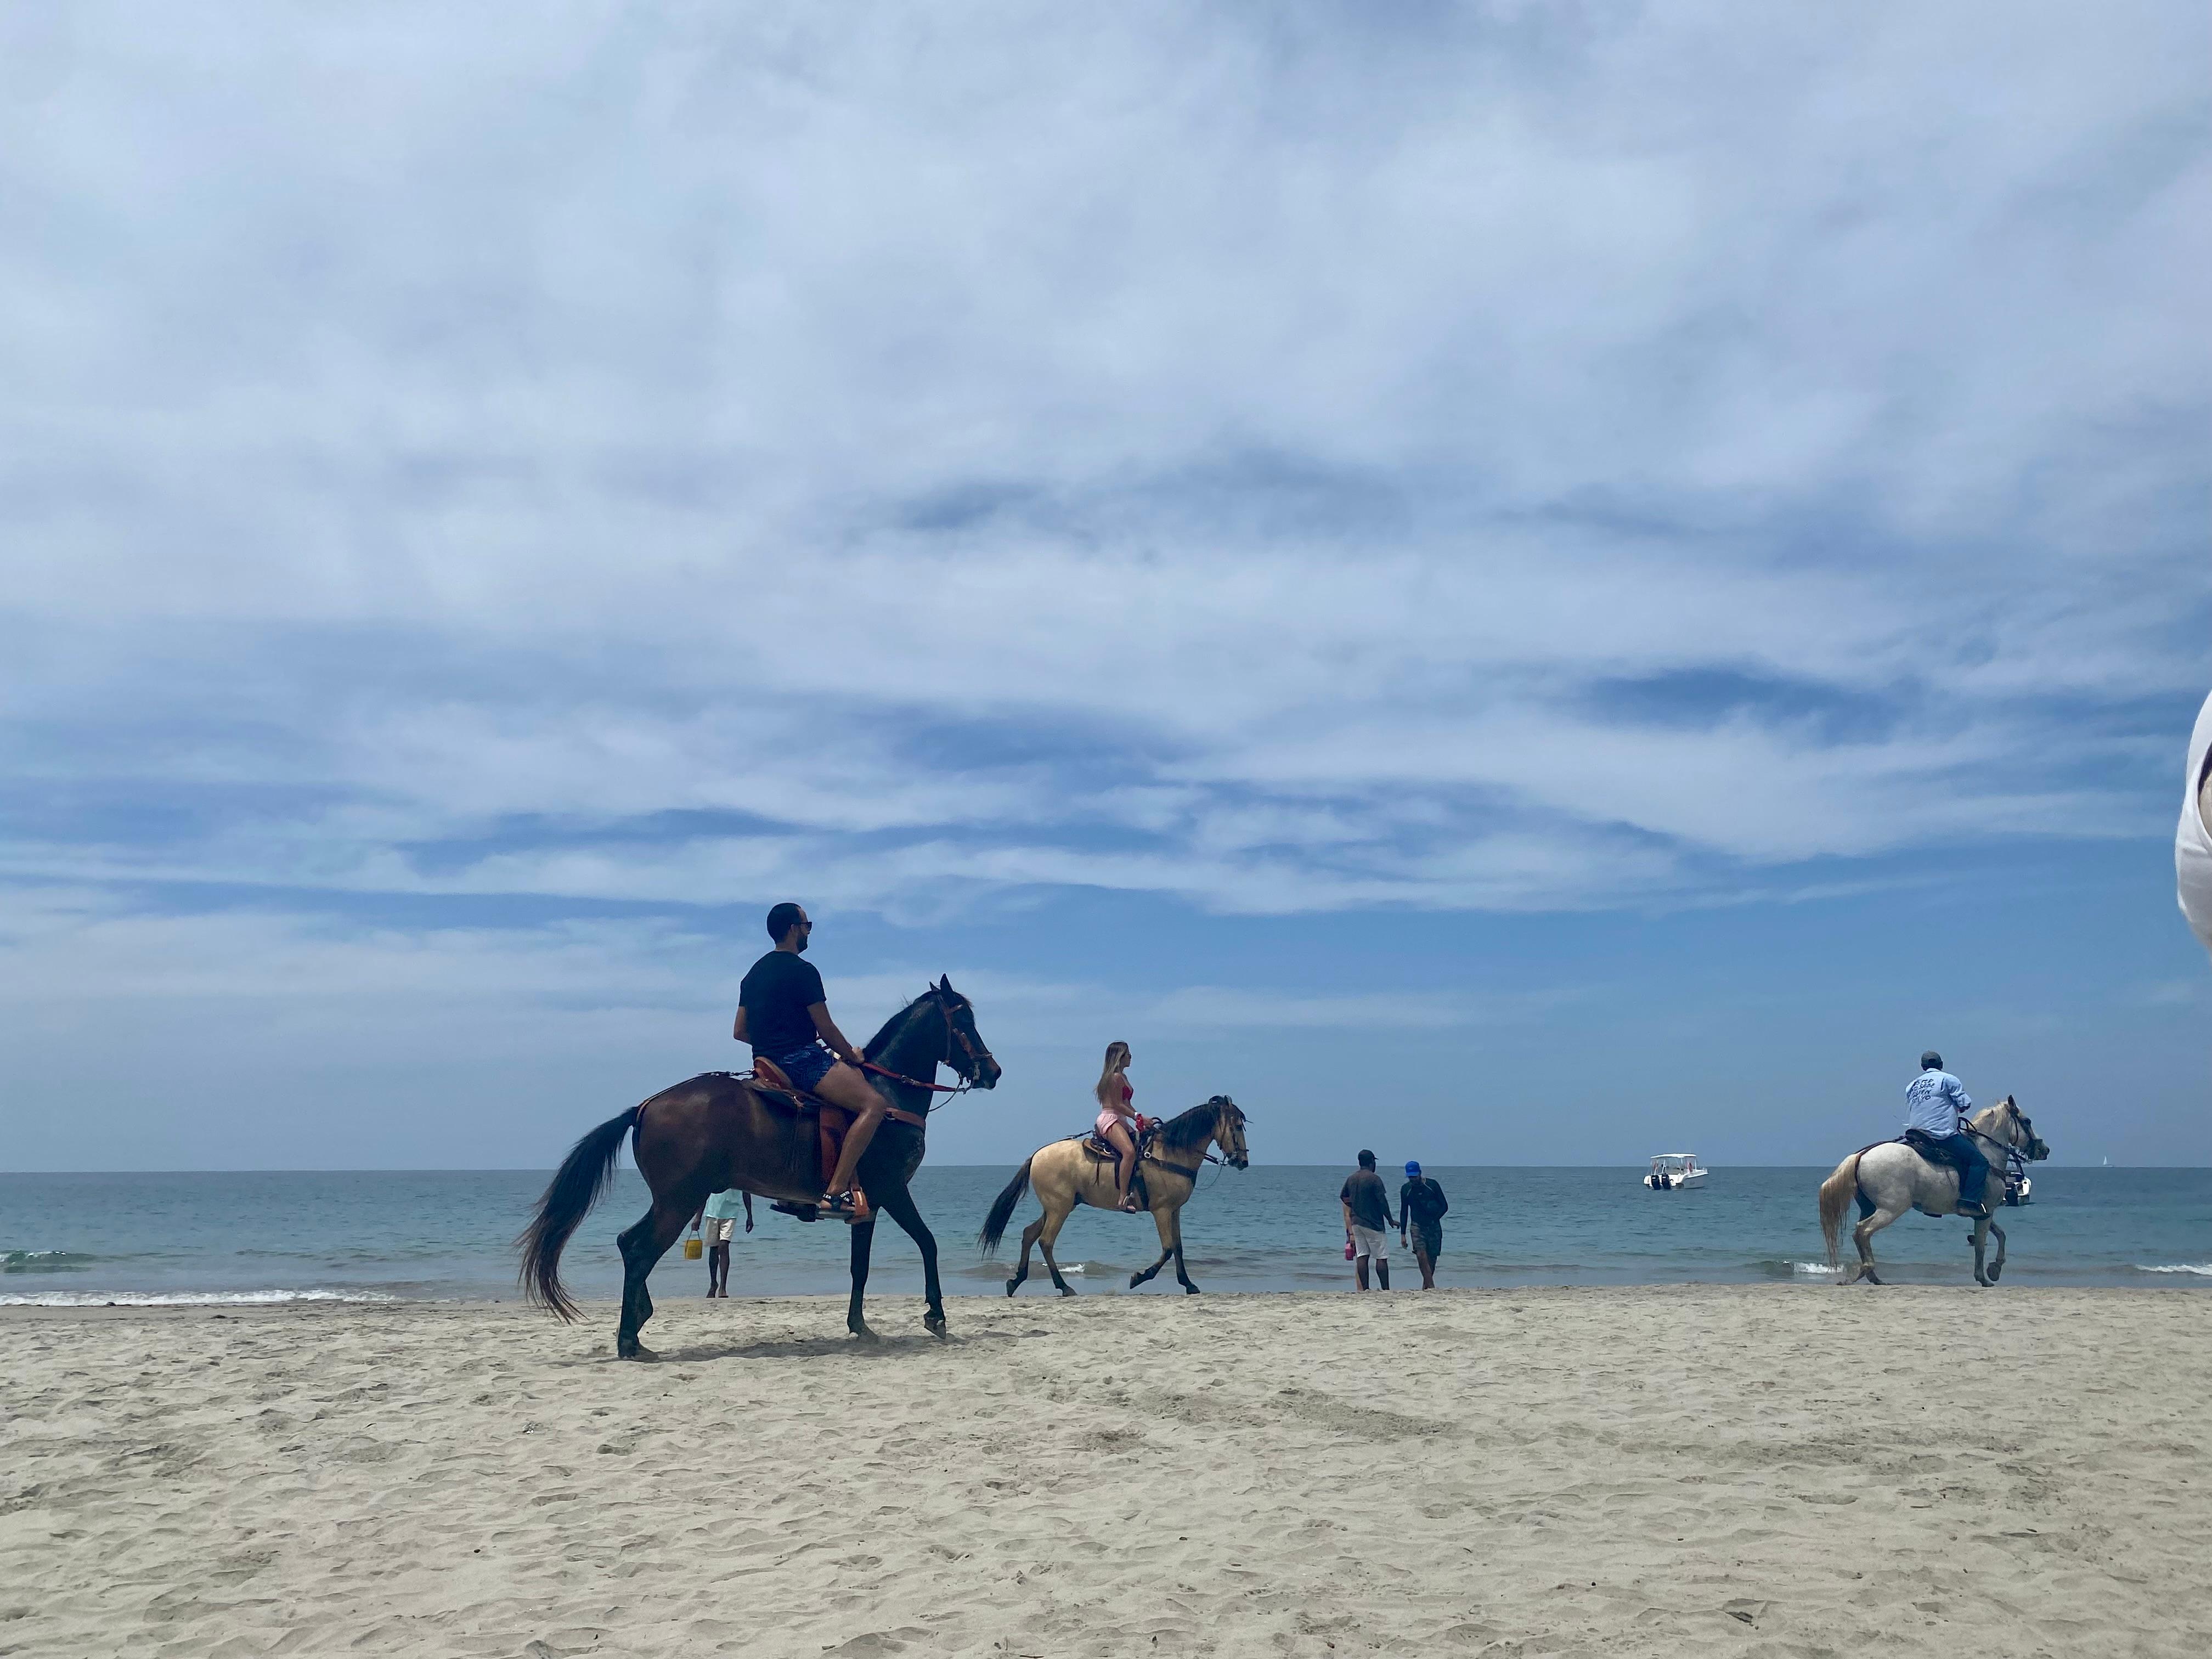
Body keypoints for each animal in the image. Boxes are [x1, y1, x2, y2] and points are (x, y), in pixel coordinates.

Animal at [513, 982, 1000, 1353]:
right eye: (964, 1024)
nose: (992, 1071)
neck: (888, 1094)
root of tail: (647, 1106)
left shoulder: (869, 1206)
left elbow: (859, 1268)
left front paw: (860, 1327)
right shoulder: (894, 1191)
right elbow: (928, 1244)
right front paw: (936, 1315)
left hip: (672, 1201)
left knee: (628, 1243)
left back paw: (636, 1324)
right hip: (679, 1201)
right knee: (637, 1249)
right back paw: (630, 1339)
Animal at [982, 1106, 1256, 1300]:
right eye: (1237, 1126)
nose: (1243, 1161)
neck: (1171, 1153)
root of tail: (1038, 1155)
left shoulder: (1175, 1210)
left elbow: (1178, 1248)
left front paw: (1188, 1284)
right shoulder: (1162, 1210)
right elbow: (1168, 1249)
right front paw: (1139, 1277)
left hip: (1056, 1207)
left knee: (1029, 1234)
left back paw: (1016, 1281)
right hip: (1059, 1209)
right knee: (1045, 1241)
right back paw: (1064, 1287)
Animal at [1822, 1097, 2044, 1291]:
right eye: (2027, 1121)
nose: (2044, 1149)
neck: (1988, 1155)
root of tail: (1863, 1154)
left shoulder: (1983, 1213)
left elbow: (2001, 1235)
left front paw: (1995, 1269)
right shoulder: (1987, 1212)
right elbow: (1981, 1245)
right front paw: (1984, 1278)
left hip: (1869, 1207)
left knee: (1860, 1234)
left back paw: (1873, 1277)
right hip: (1890, 1209)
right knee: (1863, 1231)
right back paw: (1866, 1272)